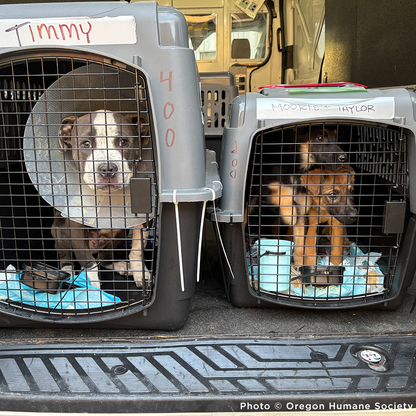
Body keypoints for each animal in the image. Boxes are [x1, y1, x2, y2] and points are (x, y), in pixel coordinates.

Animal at [50, 109, 151, 288]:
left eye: (123, 142)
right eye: (86, 144)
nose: (108, 169)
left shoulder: (140, 219)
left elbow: (137, 250)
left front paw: (141, 274)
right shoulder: (75, 228)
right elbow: (88, 263)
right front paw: (94, 290)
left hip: (118, 234)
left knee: (104, 258)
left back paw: (120, 265)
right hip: (59, 231)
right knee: (66, 256)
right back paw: (67, 272)